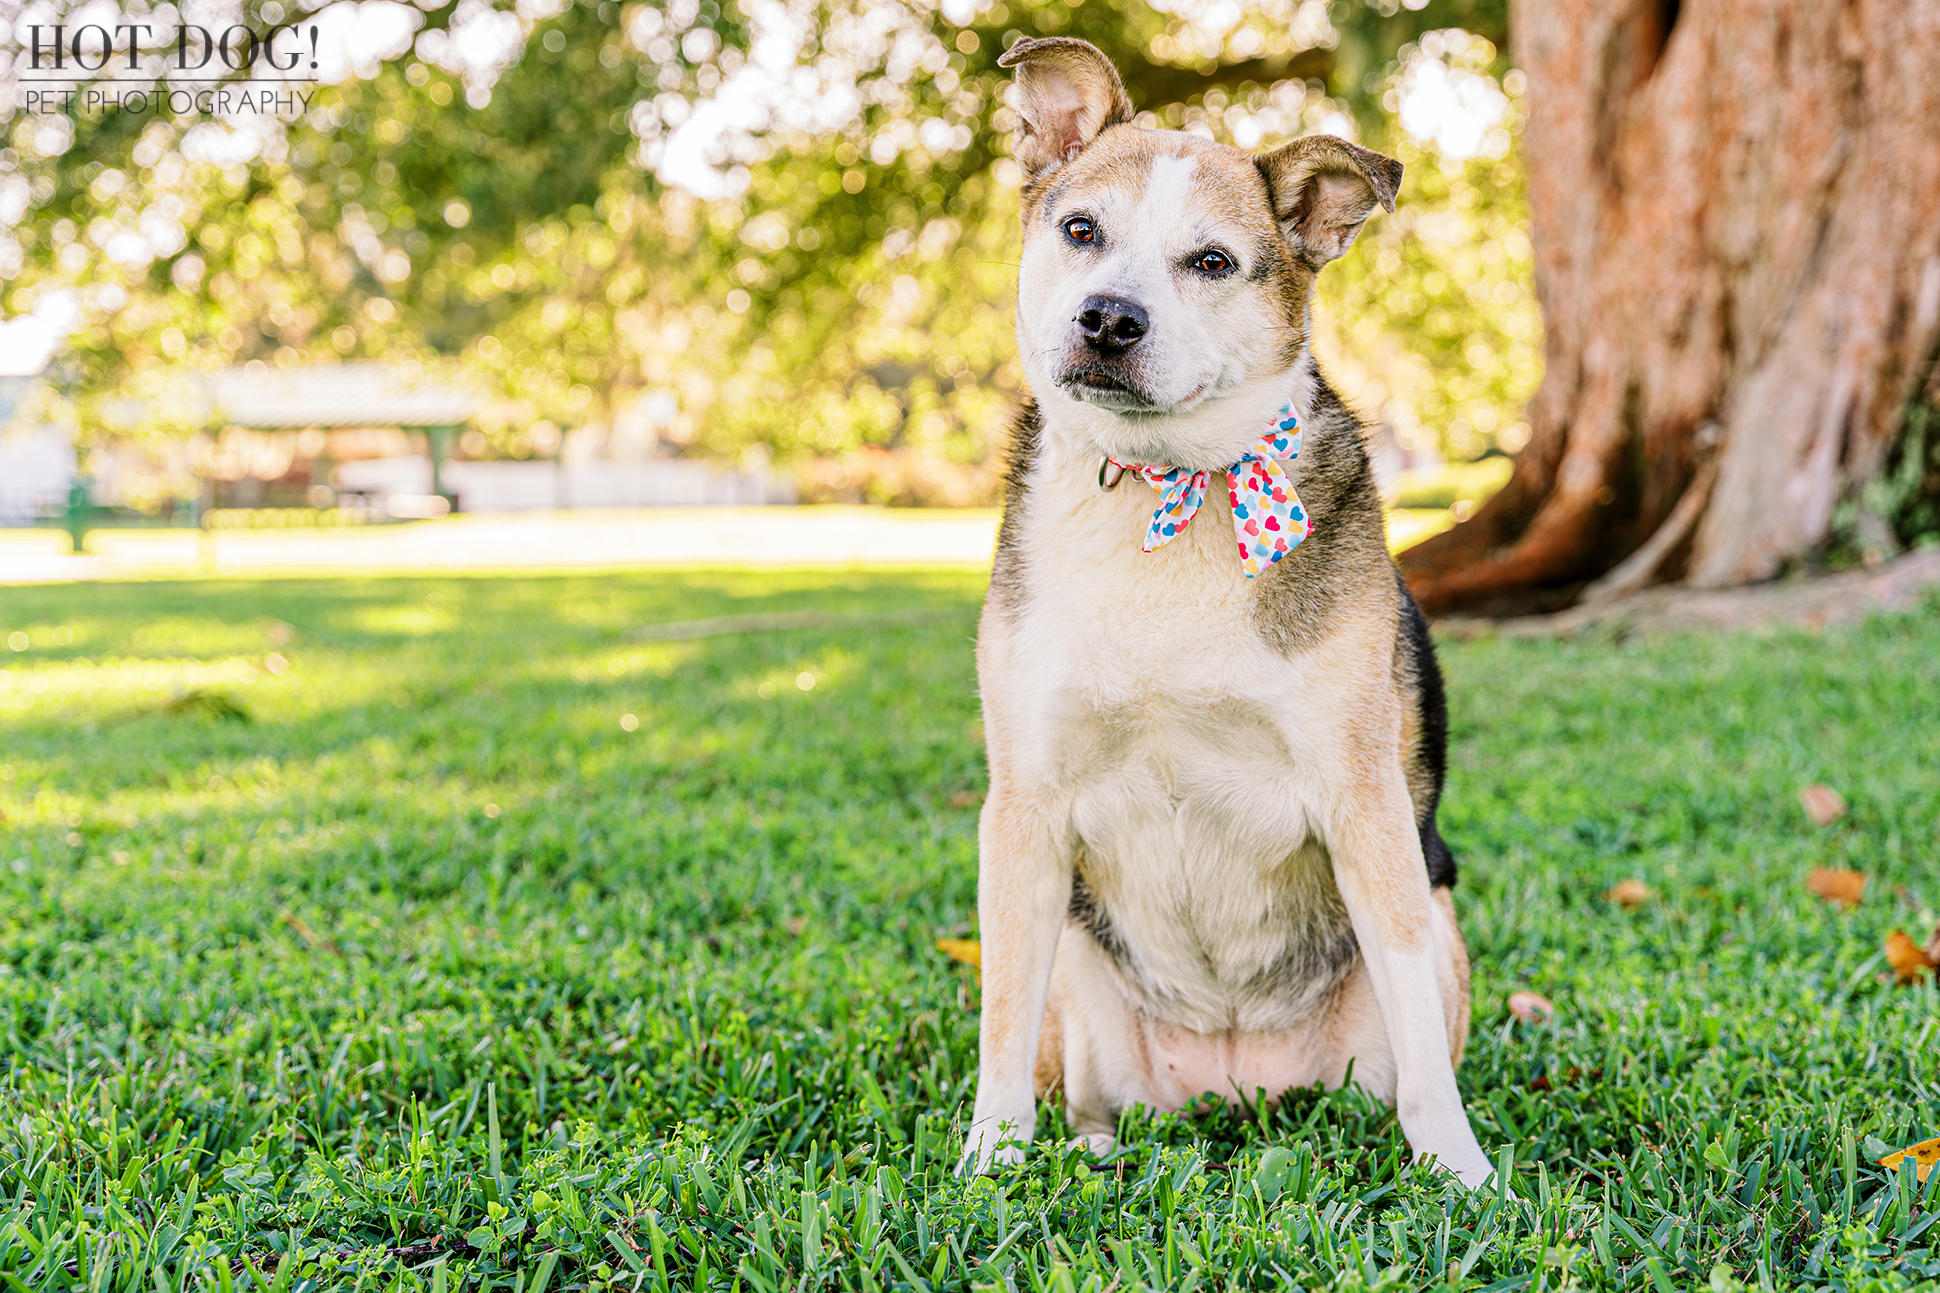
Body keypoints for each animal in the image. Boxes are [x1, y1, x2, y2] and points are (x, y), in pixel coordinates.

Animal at [962, 32, 1489, 1180]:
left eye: (1211, 262)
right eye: (1080, 230)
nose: (1107, 320)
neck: (1165, 488)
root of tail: (1235, 1080)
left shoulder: (1364, 802)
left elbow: (1421, 1039)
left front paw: (1462, 1172)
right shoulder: (1023, 808)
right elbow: (1001, 1014)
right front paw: (987, 1165)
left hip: (1440, 937)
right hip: (1086, 979)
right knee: (1083, 1087)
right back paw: (1090, 1150)